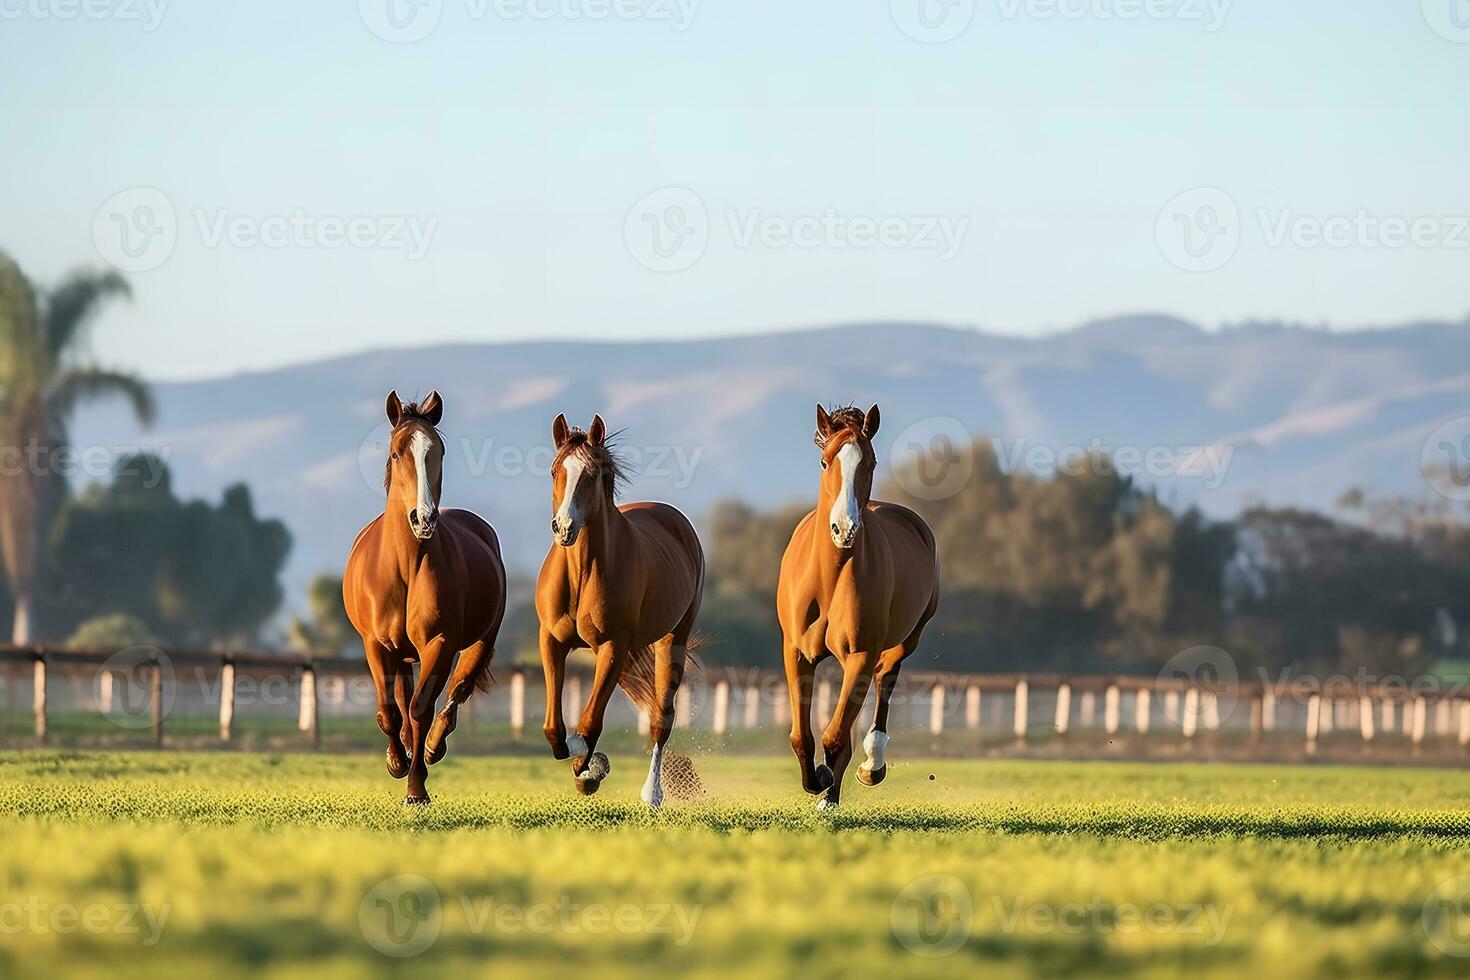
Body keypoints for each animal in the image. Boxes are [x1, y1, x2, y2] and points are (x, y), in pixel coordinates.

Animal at [342, 390, 505, 805]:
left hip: (479, 642)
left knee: (455, 693)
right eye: (397, 452)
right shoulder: (376, 644)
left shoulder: (440, 643)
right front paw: (396, 763)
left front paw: (416, 787)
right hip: (399, 653)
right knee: (402, 701)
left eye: (439, 451)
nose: (423, 518)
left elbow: (421, 709)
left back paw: (431, 747)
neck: (405, 566)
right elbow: (390, 710)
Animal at [538, 411, 702, 805]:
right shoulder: (551, 641)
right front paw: (588, 765)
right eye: (555, 470)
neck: (581, 573)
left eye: (592, 474)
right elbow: (555, 730)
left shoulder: (613, 646)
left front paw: (590, 769)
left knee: (661, 716)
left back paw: (652, 794)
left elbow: (588, 724)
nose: (564, 527)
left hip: (671, 641)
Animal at [776, 405, 934, 811]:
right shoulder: (796, 652)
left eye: (871, 462)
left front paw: (825, 781)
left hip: (905, 641)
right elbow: (802, 735)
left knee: (885, 682)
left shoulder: (861, 655)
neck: (829, 578)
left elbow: (835, 736)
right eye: (824, 461)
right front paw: (816, 780)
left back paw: (870, 766)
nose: (844, 529)